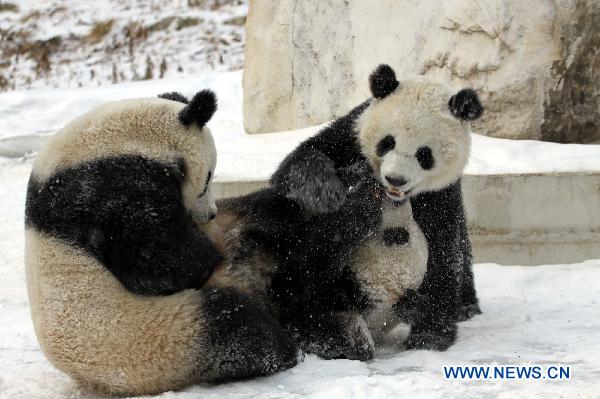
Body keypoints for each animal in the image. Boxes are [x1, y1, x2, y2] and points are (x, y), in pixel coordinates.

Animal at [206, 63, 482, 360]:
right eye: (387, 142)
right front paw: (326, 191)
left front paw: (429, 335)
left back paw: (467, 307)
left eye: (424, 154)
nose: (395, 179)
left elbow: (444, 253)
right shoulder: (349, 137)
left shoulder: (441, 195)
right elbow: (300, 162)